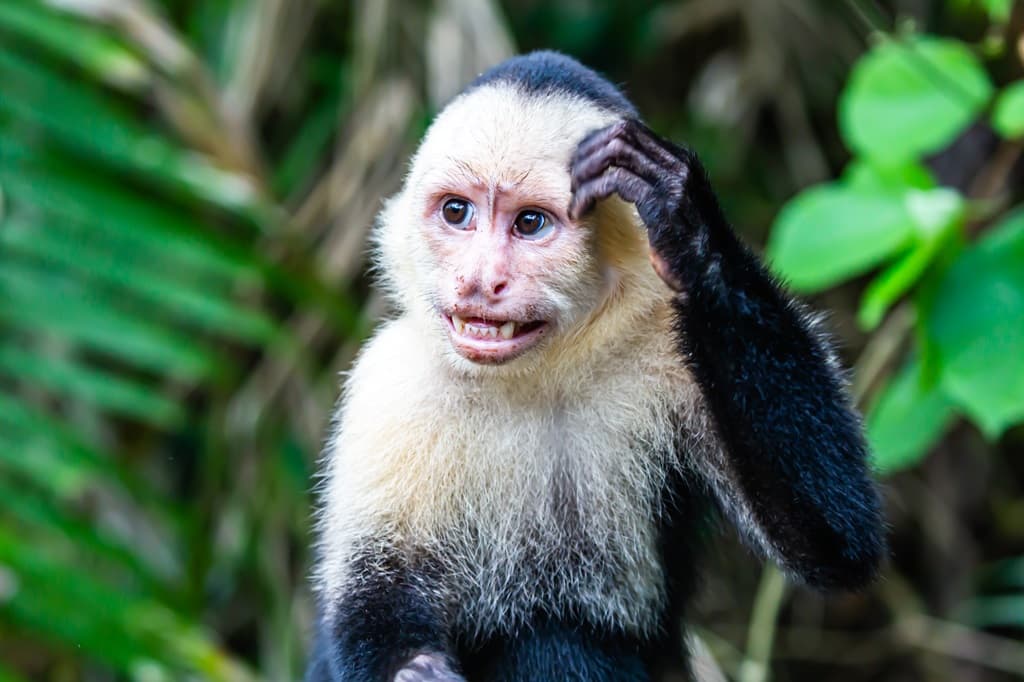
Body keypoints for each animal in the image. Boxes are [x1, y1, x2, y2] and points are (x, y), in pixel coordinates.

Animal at [306, 51, 886, 682]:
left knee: (554, 640)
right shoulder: (391, 385)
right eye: (458, 212)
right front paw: (416, 669)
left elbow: (833, 538)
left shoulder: (665, 355)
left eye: (530, 223)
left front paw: (685, 220)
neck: (535, 375)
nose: (480, 280)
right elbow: (372, 603)